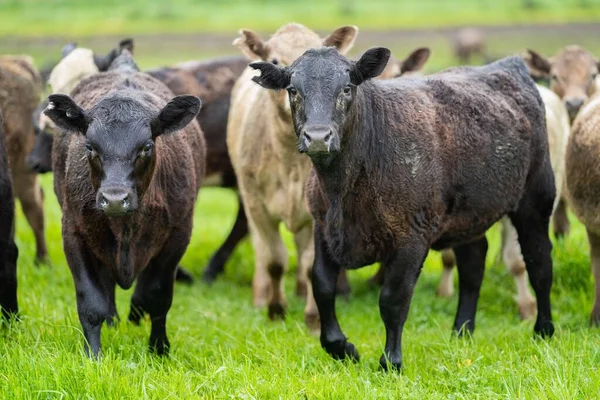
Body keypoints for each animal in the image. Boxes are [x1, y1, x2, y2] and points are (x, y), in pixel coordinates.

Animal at [225, 24, 356, 332]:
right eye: (275, 60)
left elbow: (310, 266)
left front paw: (313, 318)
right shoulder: (257, 206)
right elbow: (274, 259)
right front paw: (275, 310)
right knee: (262, 252)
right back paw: (260, 295)